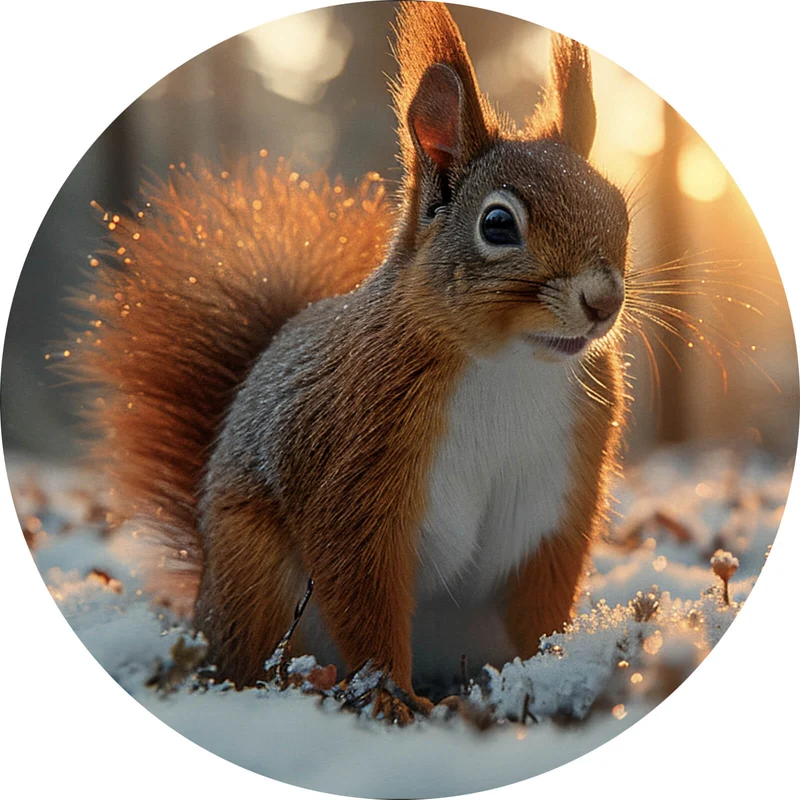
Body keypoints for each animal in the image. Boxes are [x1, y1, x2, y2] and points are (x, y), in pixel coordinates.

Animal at [72, 2, 629, 718]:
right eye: (498, 224)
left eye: (619, 208)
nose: (603, 301)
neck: (511, 365)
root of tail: (204, 611)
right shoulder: (356, 456)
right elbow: (360, 581)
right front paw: (389, 697)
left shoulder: (557, 495)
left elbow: (544, 592)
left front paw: (551, 670)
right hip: (257, 578)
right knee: (257, 655)